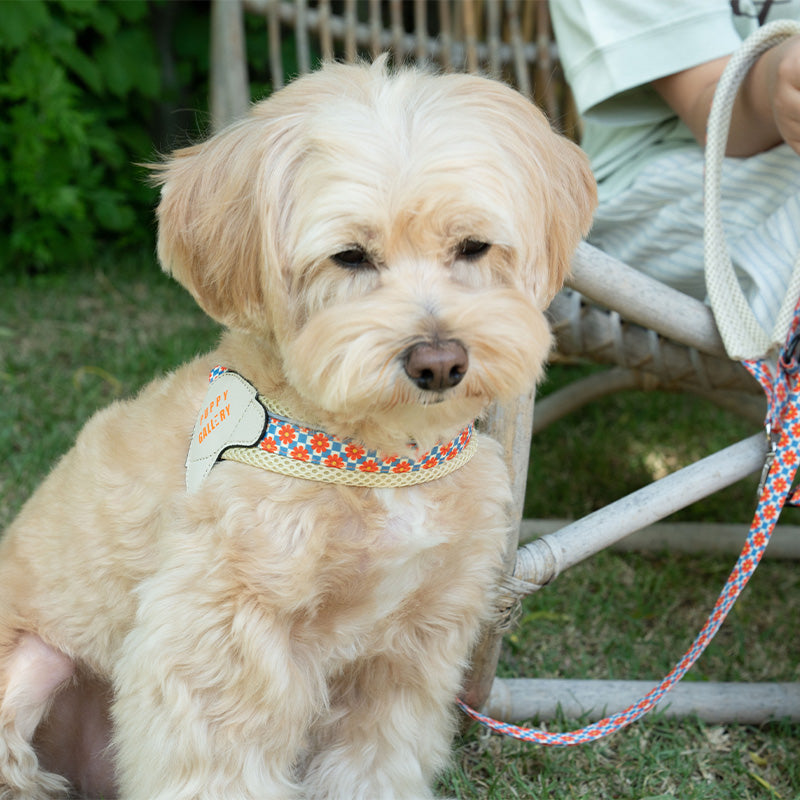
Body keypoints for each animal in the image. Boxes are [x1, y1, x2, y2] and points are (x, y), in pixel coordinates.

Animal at [0, 59, 592, 796]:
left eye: (474, 246)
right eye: (350, 257)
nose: (439, 361)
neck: (383, 459)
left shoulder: (410, 650)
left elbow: (372, 765)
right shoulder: (216, 637)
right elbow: (221, 768)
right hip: (30, 671)